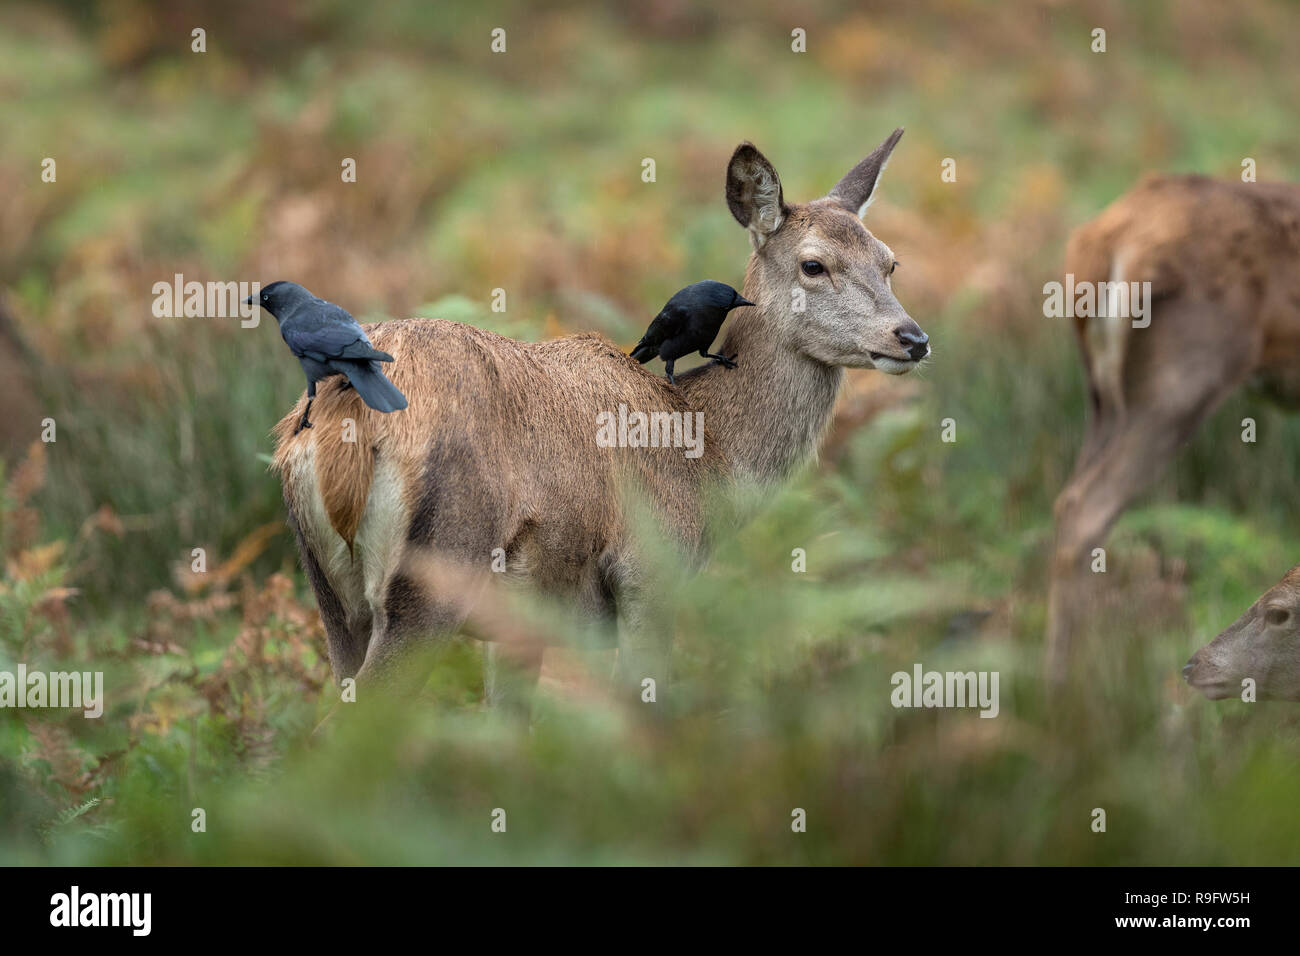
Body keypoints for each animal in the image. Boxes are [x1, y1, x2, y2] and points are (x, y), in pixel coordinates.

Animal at [270, 129, 930, 713]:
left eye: (891, 262)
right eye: (813, 265)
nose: (913, 338)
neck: (709, 456)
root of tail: (341, 429)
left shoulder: (521, 628)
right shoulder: (650, 575)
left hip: (329, 589)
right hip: (437, 563)